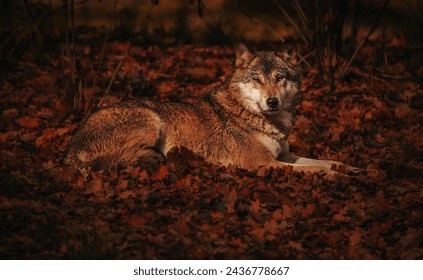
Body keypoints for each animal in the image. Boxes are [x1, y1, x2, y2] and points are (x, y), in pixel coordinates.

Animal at [65, 43, 358, 176]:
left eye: (279, 78)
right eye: (257, 80)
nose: (273, 102)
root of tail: (69, 151)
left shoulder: (284, 155)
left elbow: (320, 160)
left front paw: (348, 167)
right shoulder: (264, 164)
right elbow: (313, 169)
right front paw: (335, 176)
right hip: (152, 119)